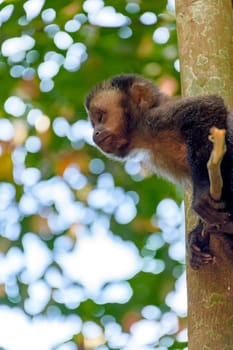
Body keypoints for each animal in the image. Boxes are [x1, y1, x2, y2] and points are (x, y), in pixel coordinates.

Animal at [84, 75, 233, 270]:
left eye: (101, 116)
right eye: (94, 123)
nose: (95, 133)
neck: (146, 137)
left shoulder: (157, 117)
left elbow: (209, 107)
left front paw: (203, 191)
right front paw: (196, 235)